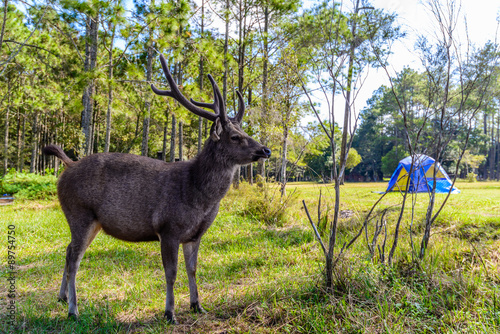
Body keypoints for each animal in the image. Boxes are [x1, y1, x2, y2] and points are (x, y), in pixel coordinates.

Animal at [42, 52, 270, 324]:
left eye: (244, 130)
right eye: (235, 137)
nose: (265, 150)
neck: (198, 196)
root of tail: (68, 165)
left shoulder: (195, 234)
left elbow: (193, 269)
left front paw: (197, 305)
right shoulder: (168, 227)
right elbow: (171, 272)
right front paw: (170, 312)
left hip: (92, 221)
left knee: (68, 251)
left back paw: (62, 296)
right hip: (79, 212)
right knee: (74, 258)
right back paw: (73, 310)